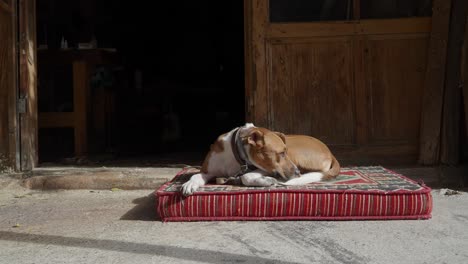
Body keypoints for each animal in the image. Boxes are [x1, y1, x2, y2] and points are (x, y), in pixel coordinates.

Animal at [183, 122, 340, 195]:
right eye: (281, 154)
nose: (297, 173)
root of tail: (330, 152)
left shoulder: (266, 168)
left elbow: (247, 176)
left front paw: (267, 181)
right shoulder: (207, 171)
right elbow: (196, 175)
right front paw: (189, 184)